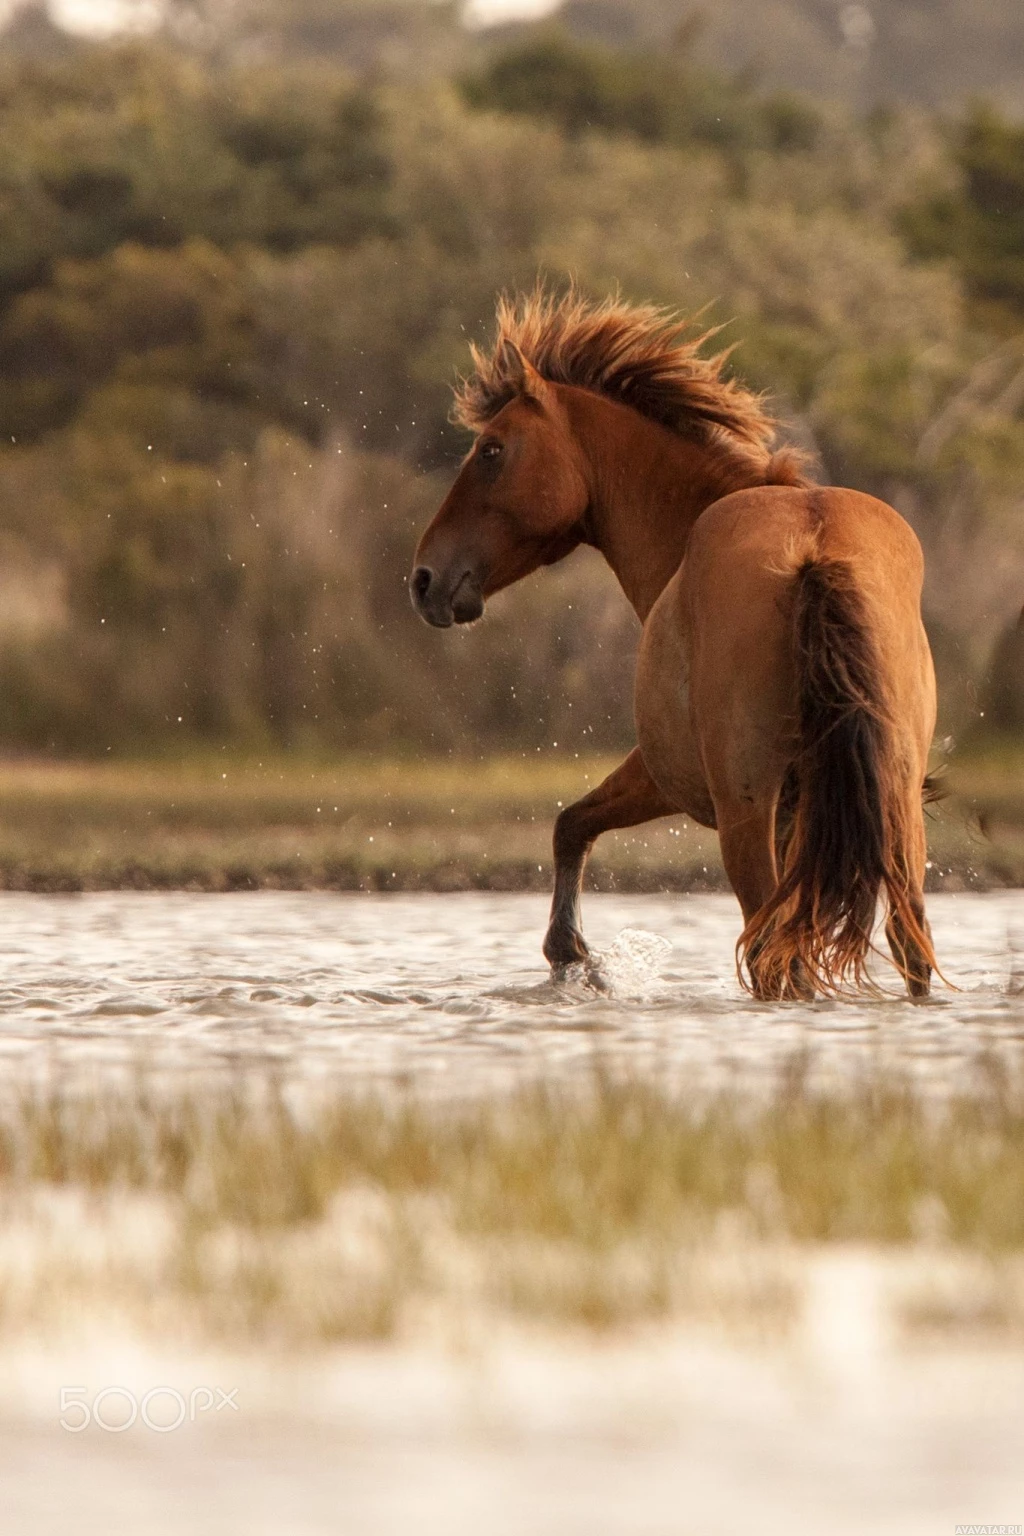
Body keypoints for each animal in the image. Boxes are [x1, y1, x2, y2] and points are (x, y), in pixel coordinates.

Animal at [408, 288, 939, 1001]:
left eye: (491, 450)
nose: (425, 579)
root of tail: (814, 546)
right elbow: (573, 823)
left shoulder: (665, 777)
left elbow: (569, 824)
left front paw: (570, 952)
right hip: (894, 811)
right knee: (907, 948)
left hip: (747, 816)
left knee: (777, 959)